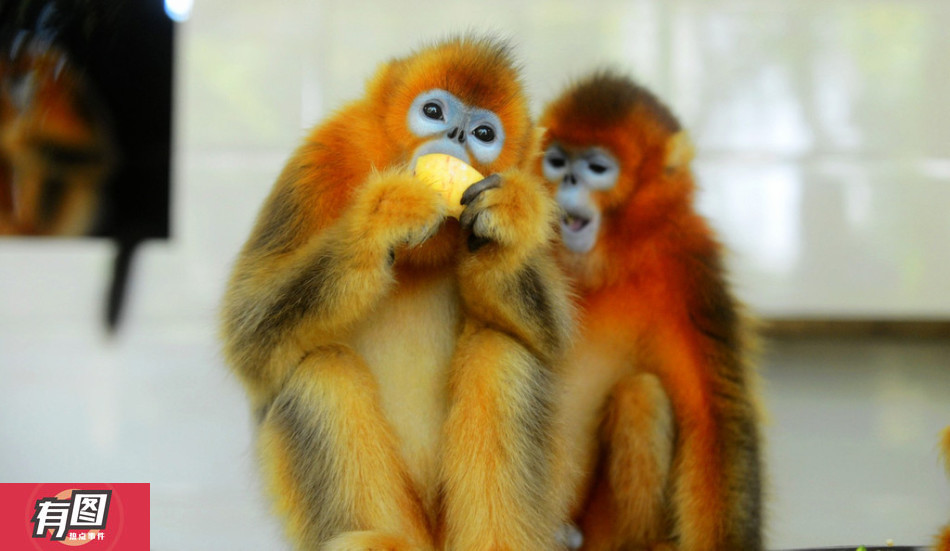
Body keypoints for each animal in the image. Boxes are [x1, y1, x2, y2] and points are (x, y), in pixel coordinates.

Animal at [221, 37, 572, 551]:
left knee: (501, 352)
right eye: (433, 111)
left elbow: (557, 346)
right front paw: (387, 216)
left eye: (484, 133)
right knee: (319, 373)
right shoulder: (318, 158)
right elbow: (248, 337)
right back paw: (376, 538)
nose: (456, 135)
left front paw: (503, 228)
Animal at [536, 71, 768, 548]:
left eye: (597, 168)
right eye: (556, 161)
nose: (567, 181)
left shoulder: (688, 262)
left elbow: (714, 415)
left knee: (641, 395)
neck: (600, 268)